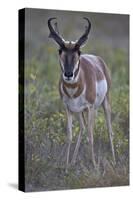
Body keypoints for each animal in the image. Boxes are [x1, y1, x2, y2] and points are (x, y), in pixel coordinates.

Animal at [47, 17, 115, 170]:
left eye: (79, 51)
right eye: (60, 50)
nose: (68, 74)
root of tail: (99, 60)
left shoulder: (90, 108)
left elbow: (91, 135)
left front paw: (94, 165)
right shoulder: (68, 108)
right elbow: (69, 135)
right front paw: (66, 166)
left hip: (104, 104)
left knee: (108, 130)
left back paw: (113, 161)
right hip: (79, 111)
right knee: (83, 128)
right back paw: (72, 162)